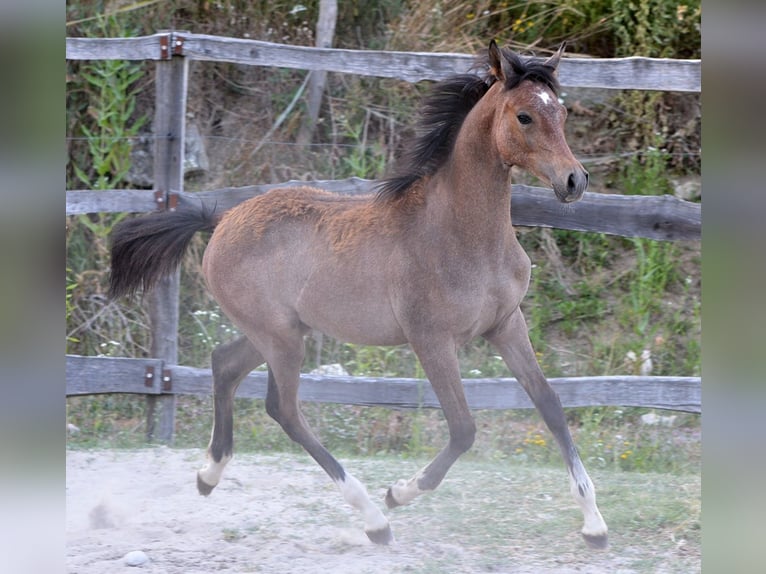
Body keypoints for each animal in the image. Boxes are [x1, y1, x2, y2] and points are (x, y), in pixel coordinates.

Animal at [109, 40, 608, 549]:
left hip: (279, 331)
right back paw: (374, 518)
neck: (460, 233)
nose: (574, 180)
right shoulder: (431, 339)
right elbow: (463, 428)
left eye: (561, 111)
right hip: (280, 339)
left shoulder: (506, 324)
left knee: (224, 365)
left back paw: (209, 474)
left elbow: (550, 404)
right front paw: (399, 492)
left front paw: (594, 523)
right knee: (284, 409)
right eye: (524, 116)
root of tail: (222, 219)